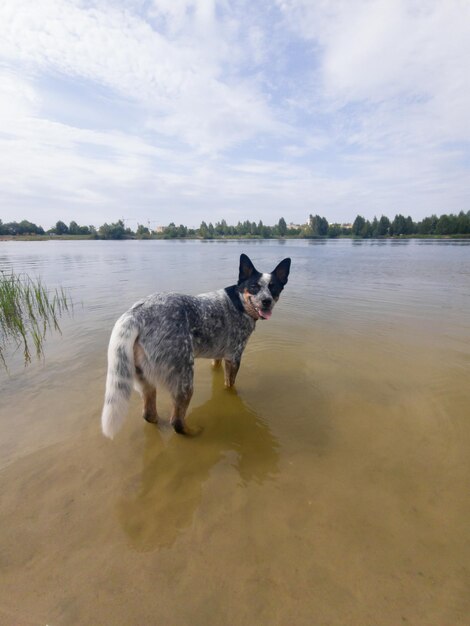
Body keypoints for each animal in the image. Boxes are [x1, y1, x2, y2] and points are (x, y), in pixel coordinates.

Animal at [100, 251, 290, 436]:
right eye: (254, 287)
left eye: (273, 287)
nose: (267, 301)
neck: (240, 303)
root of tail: (136, 314)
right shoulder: (234, 357)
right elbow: (230, 384)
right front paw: (231, 395)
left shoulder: (218, 353)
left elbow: (216, 366)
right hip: (184, 377)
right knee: (176, 421)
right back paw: (192, 432)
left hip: (144, 377)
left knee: (148, 413)